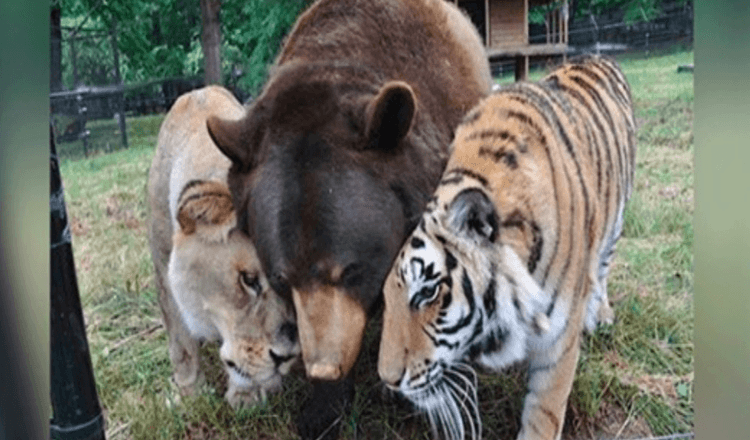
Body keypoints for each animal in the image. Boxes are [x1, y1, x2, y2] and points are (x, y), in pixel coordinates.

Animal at [147, 86, 300, 410]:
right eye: (249, 280)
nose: (287, 357)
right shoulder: (162, 265)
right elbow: (180, 342)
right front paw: (190, 394)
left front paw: (246, 394)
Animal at [382, 55, 636, 440]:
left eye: (427, 292)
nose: (387, 380)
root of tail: (597, 56)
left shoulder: (558, 344)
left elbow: (543, 415)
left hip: (617, 219)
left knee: (604, 266)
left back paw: (601, 313)